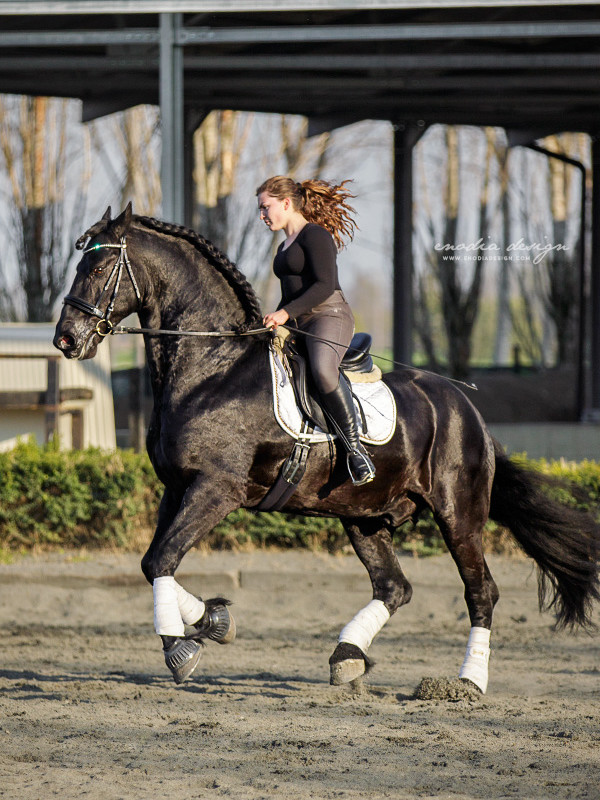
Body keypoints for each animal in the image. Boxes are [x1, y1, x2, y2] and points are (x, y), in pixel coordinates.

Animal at [54, 206, 596, 692]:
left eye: (98, 269)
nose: (65, 340)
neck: (211, 366)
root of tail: (468, 409)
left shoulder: (216, 490)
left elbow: (163, 560)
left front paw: (180, 648)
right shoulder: (177, 487)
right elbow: (152, 562)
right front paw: (214, 621)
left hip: (457, 514)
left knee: (480, 591)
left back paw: (468, 682)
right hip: (365, 515)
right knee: (394, 587)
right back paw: (347, 657)